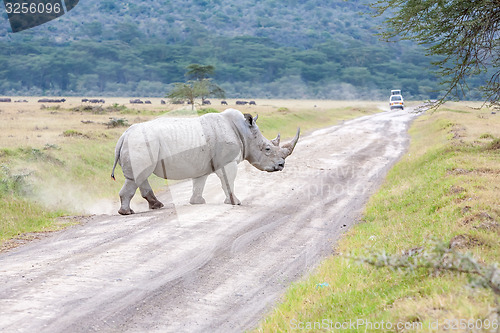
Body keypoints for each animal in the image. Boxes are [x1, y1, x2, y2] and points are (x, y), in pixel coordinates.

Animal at [111, 107, 298, 214]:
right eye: (267, 149)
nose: (281, 165)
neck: (245, 133)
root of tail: (124, 136)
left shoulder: (202, 164)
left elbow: (199, 182)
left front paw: (197, 202)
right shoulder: (228, 162)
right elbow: (228, 181)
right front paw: (235, 203)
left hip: (139, 143)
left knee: (141, 176)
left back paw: (156, 206)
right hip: (141, 143)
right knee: (136, 177)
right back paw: (127, 213)